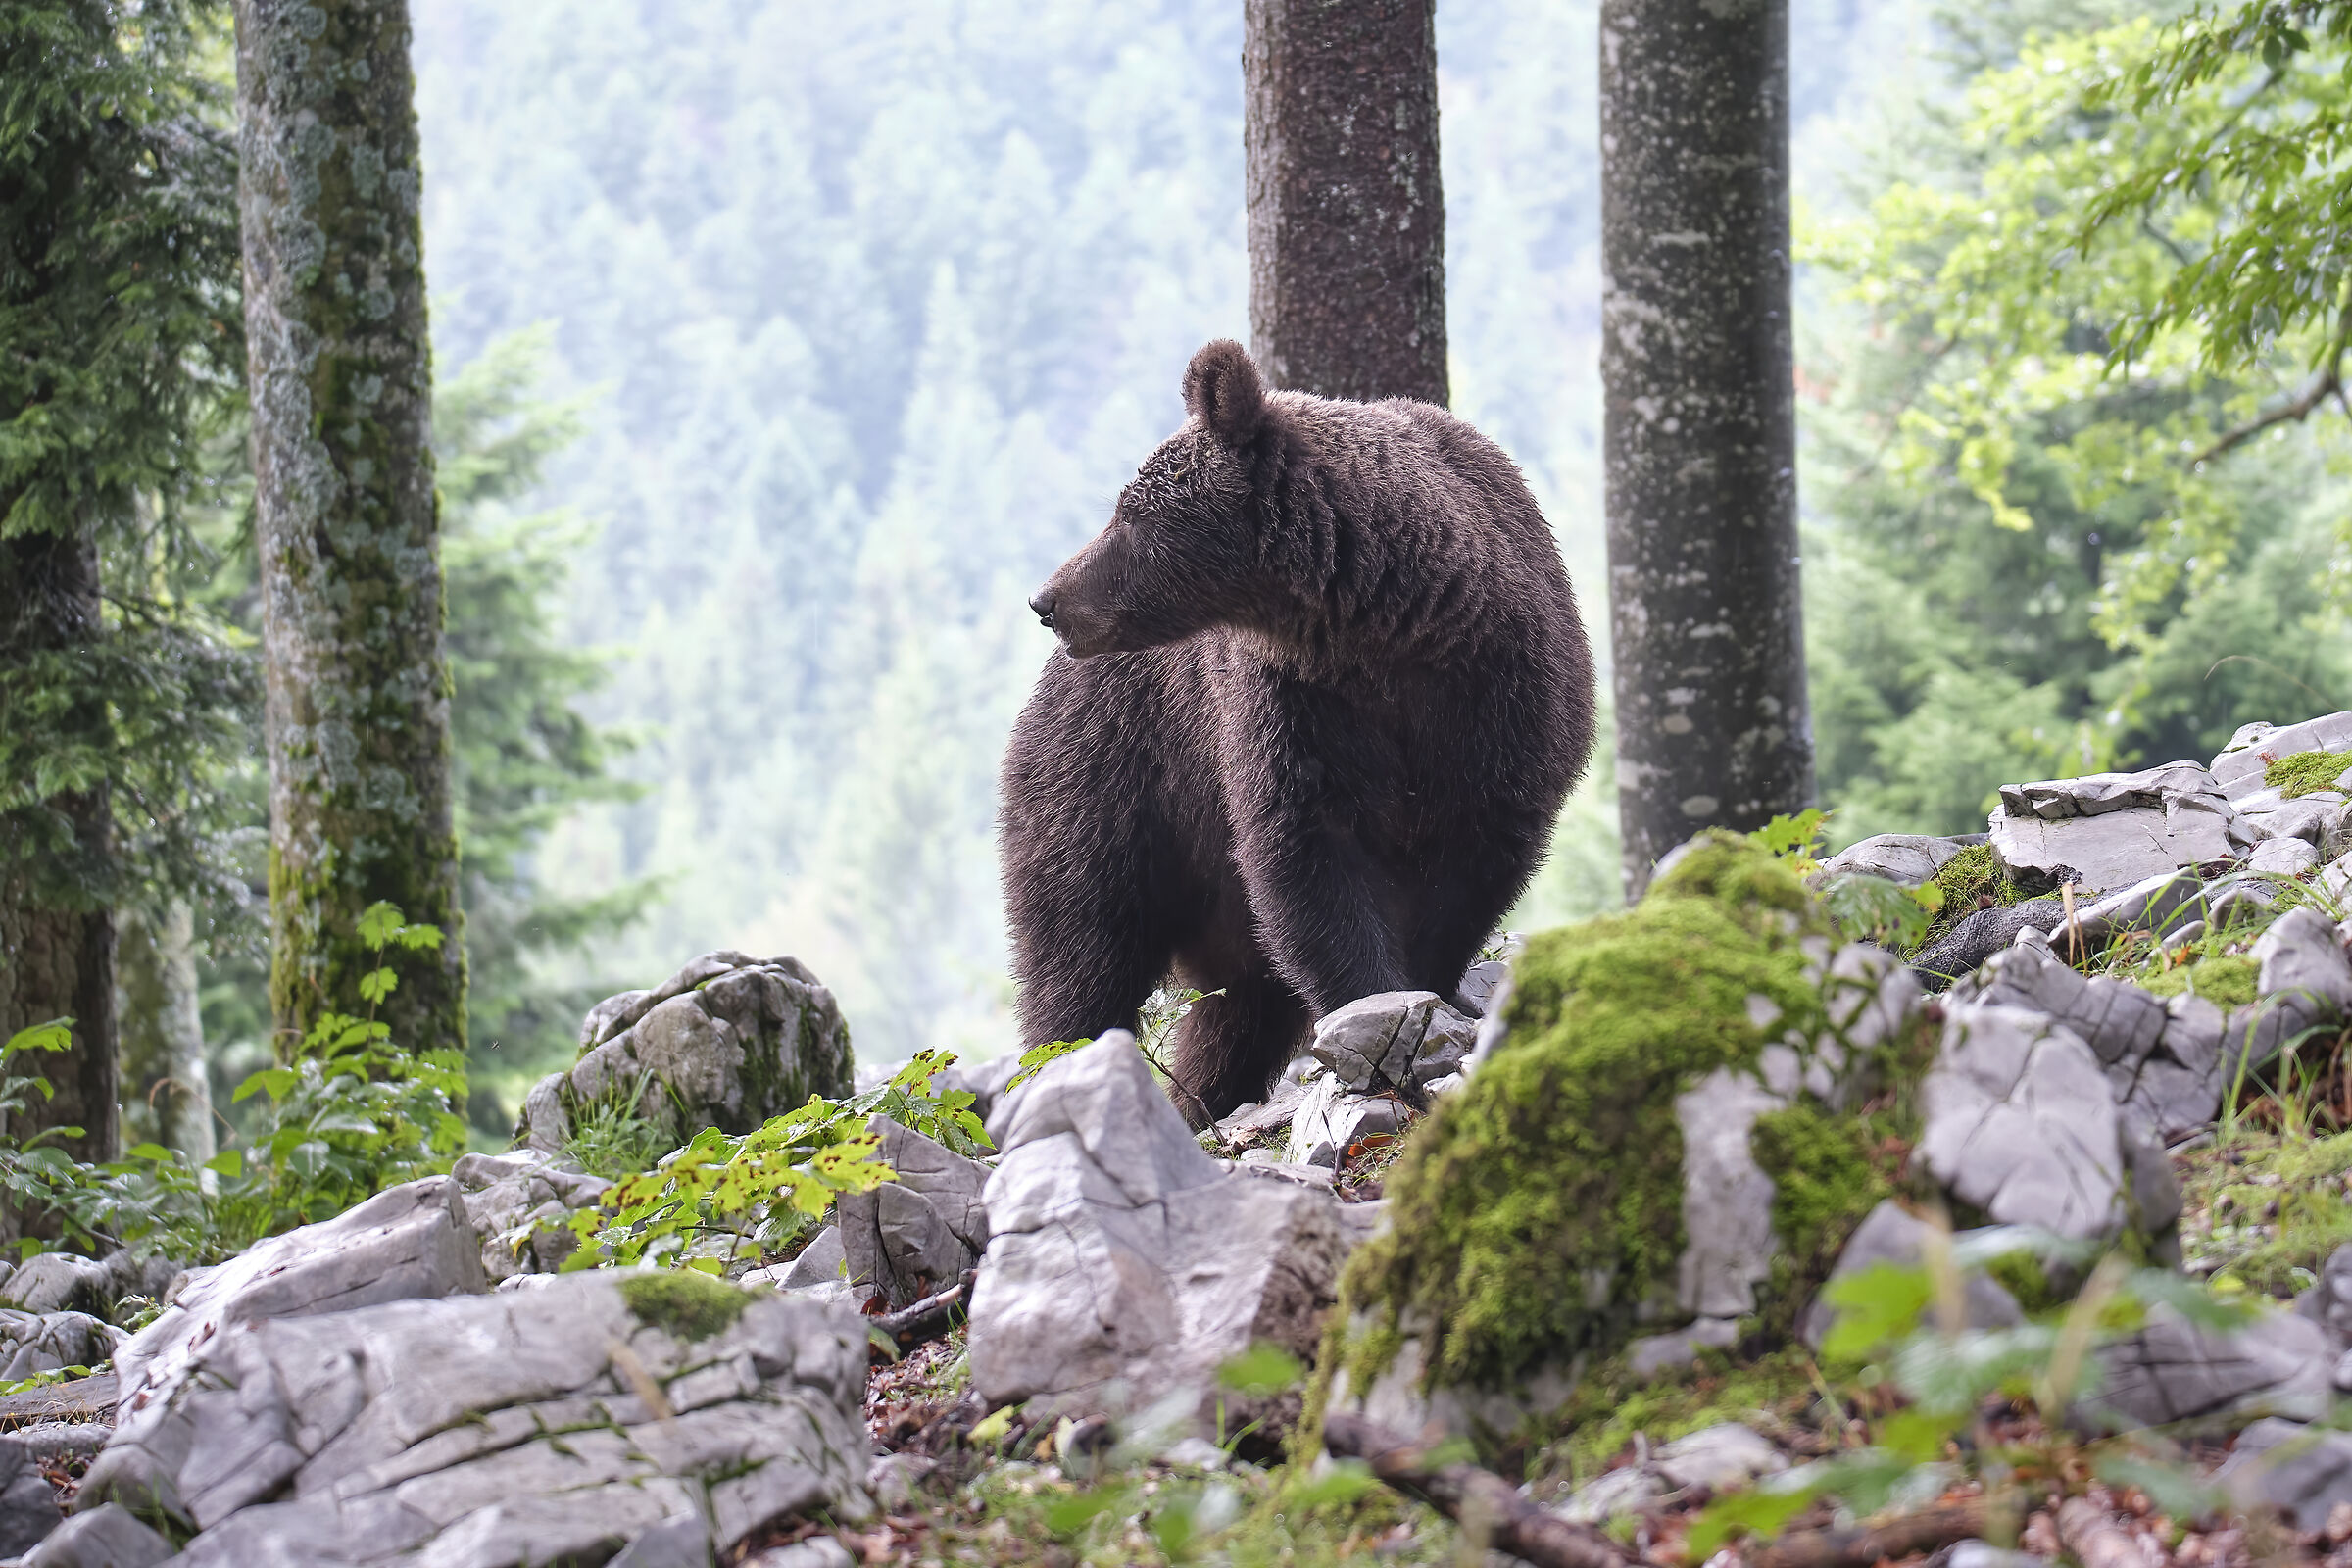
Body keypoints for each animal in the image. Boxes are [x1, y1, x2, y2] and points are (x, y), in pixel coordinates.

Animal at [998, 339, 1596, 1124]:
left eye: (1130, 516)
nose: (1048, 600)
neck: (1390, 629)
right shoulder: (1294, 712)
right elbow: (1308, 855)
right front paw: (1379, 1009)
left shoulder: (1498, 709)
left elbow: (1468, 870)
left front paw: (1421, 999)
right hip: (1118, 784)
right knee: (1081, 951)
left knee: (1233, 1015)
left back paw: (1203, 1098)